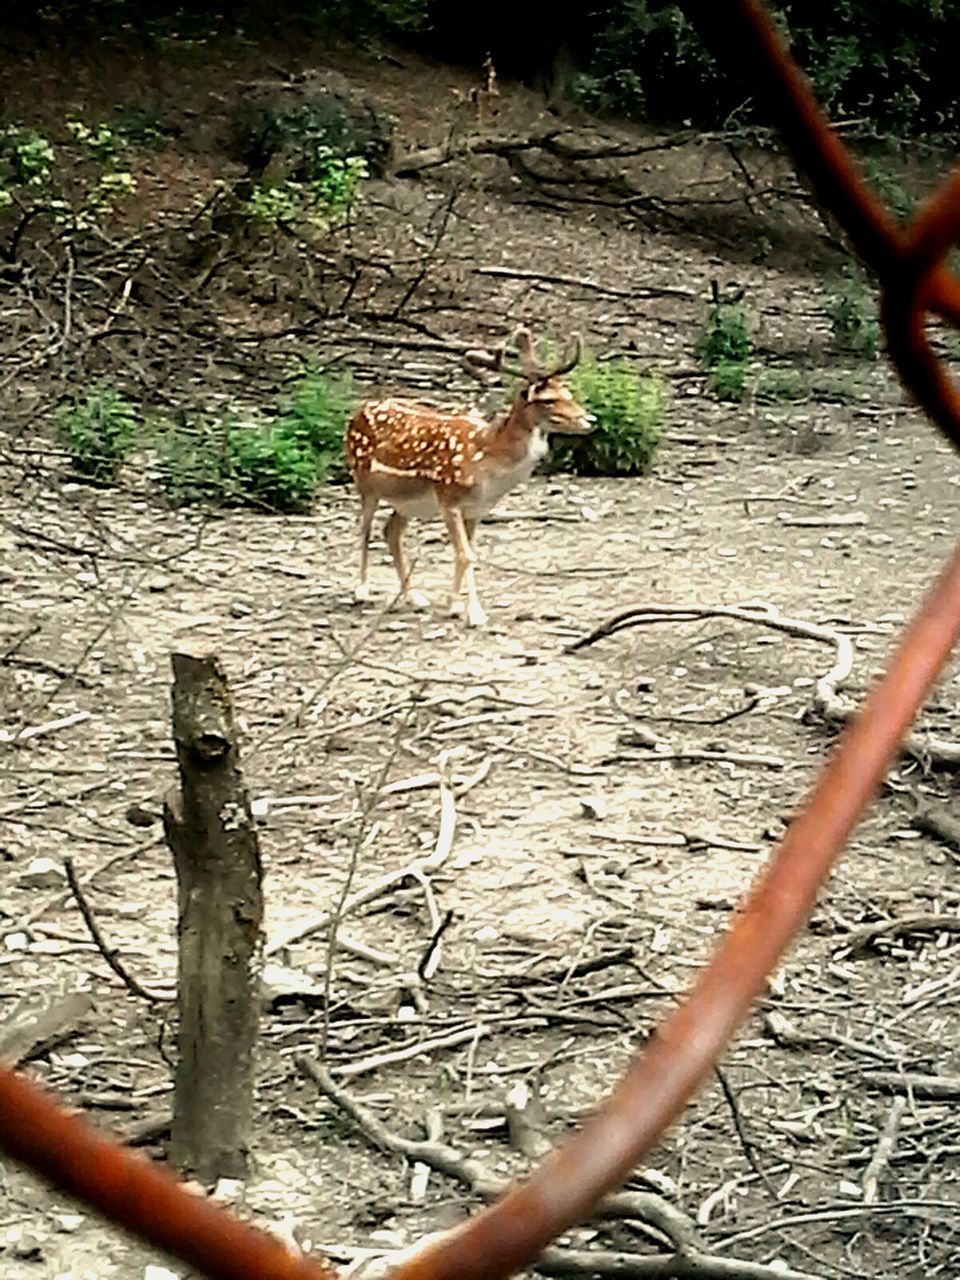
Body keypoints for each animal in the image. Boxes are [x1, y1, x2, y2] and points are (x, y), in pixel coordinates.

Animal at [345, 330, 593, 629]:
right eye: (548, 400)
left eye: (568, 393)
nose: (589, 419)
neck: (487, 462)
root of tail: (358, 411)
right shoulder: (449, 498)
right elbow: (466, 555)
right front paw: (475, 614)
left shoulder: (476, 508)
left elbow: (466, 552)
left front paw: (454, 606)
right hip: (363, 479)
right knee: (364, 528)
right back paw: (361, 590)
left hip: (408, 500)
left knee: (391, 531)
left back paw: (414, 596)